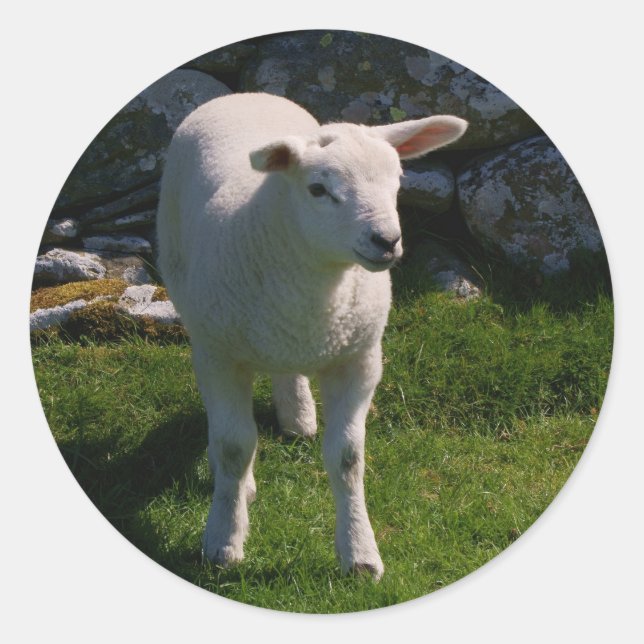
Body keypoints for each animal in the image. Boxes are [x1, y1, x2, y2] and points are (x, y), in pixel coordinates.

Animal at [156, 92, 467, 579]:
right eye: (319, 190)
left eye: (397, 180)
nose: (387, 241)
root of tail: (243, 95)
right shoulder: (221, 356)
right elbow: (233, 446)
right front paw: (223, 542)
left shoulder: (359, 360)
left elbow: (348, 458)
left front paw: (360, 554)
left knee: (286, 371)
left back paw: (298, 416)